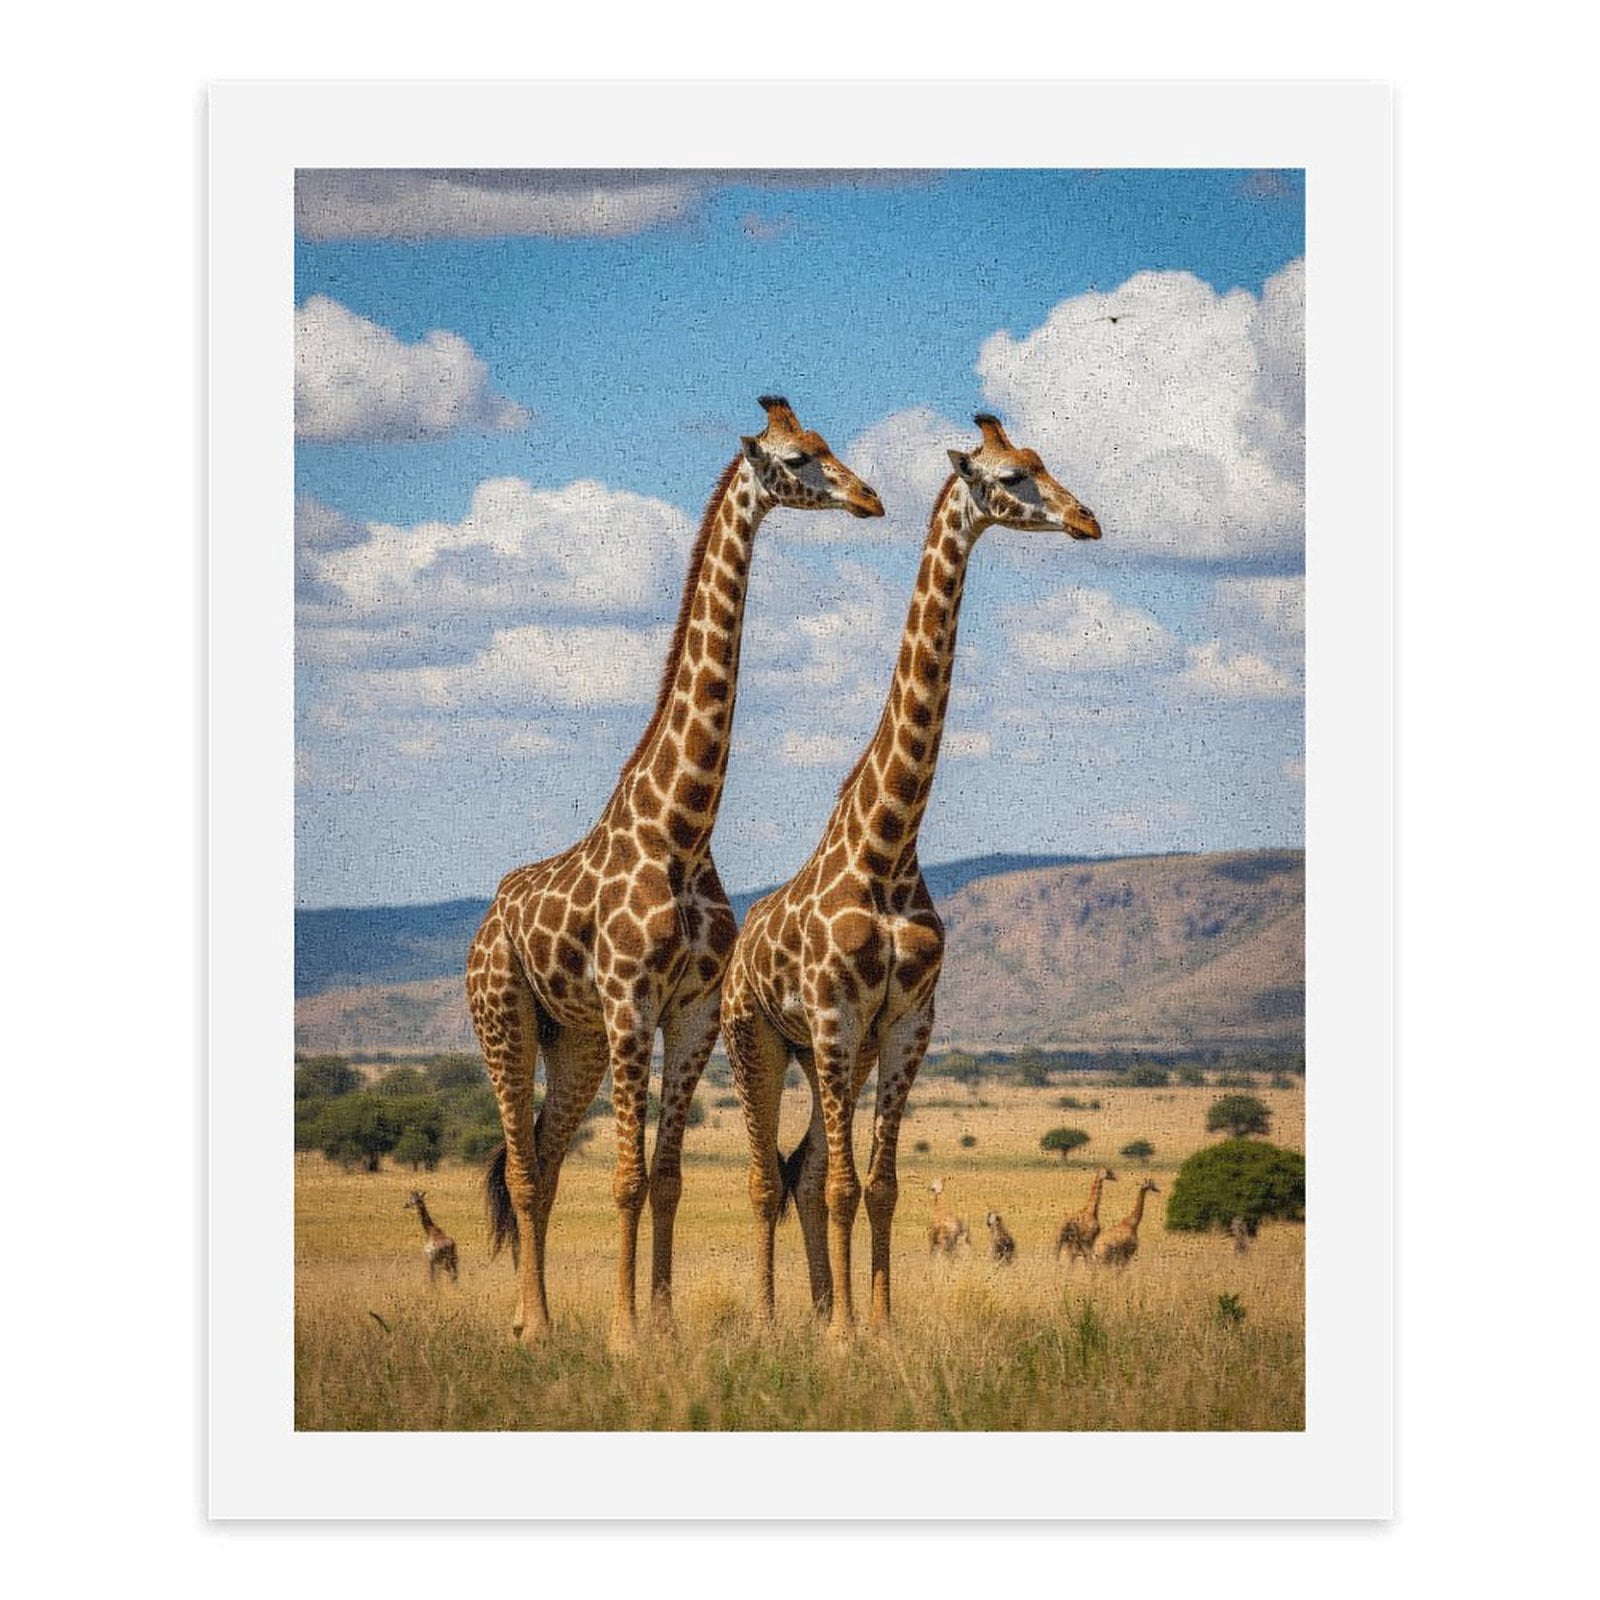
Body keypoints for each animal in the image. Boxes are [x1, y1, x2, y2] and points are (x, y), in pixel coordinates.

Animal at [469, 397, 883, 1350]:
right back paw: (533, 1326)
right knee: (521, 1167)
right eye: (799, 459)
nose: (870, 498)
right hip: (503, 1018)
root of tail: (483, 925)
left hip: (574, 1038)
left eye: (830, 445)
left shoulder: (688, 1011)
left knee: (545, 1160)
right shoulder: (631, 1000)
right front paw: (625, 1333)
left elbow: (664, 1177)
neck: (685, 828)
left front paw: (660, 1323)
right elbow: (624, 1178)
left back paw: (534, 1317)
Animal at [722, 412, 1102, 1336]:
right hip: (756, 1038)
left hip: (830, 1053)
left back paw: (821, 1307)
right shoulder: (832, 1016)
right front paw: (846, 1338)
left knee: (800, 1167)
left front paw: (878, 1326)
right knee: (764, 1176)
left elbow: (880, 1186)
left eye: (1041, 461)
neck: (889, 844)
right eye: (1011, 476)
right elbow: (845, 1185)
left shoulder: (904, 1025)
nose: (1087, 520)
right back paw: (775, 1318)